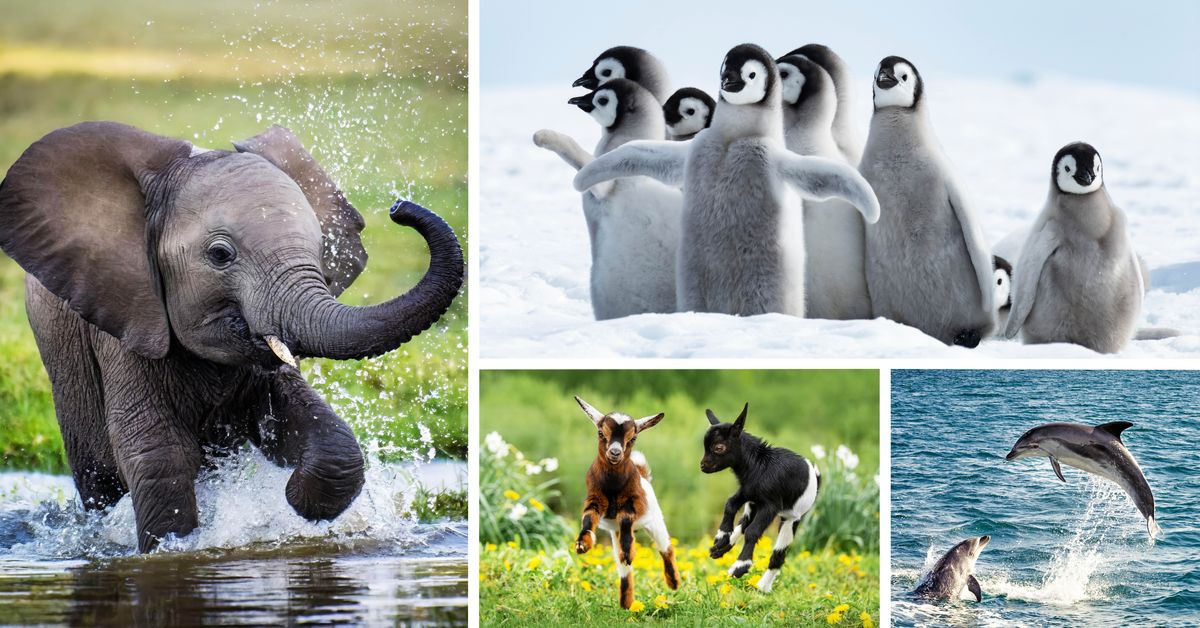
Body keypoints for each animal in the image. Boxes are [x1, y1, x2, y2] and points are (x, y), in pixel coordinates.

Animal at [0, 121, 464, 552]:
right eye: (220, 255)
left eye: (321, 249)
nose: (399, 207)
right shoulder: (125, 318)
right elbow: (160, 455)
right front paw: (174, 548)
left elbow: (311, 427)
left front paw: (297, 504)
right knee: (99, 480)